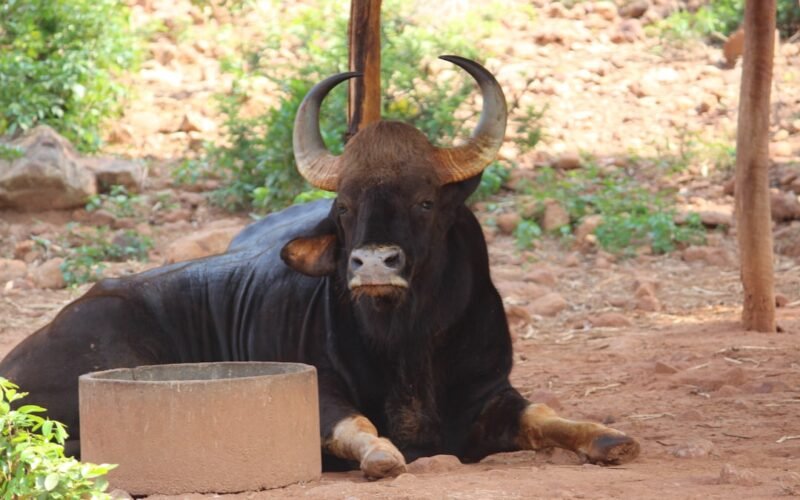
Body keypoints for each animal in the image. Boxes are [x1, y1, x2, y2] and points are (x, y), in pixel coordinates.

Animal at [0, 56, 640, 478]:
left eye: (425, 201)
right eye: (346, 205)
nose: (374, 261)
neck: (407, 343)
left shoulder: (492, 392)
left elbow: (548, 416)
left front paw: (612, 439)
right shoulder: (322, 389)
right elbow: (358, 426)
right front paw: (384, 457)